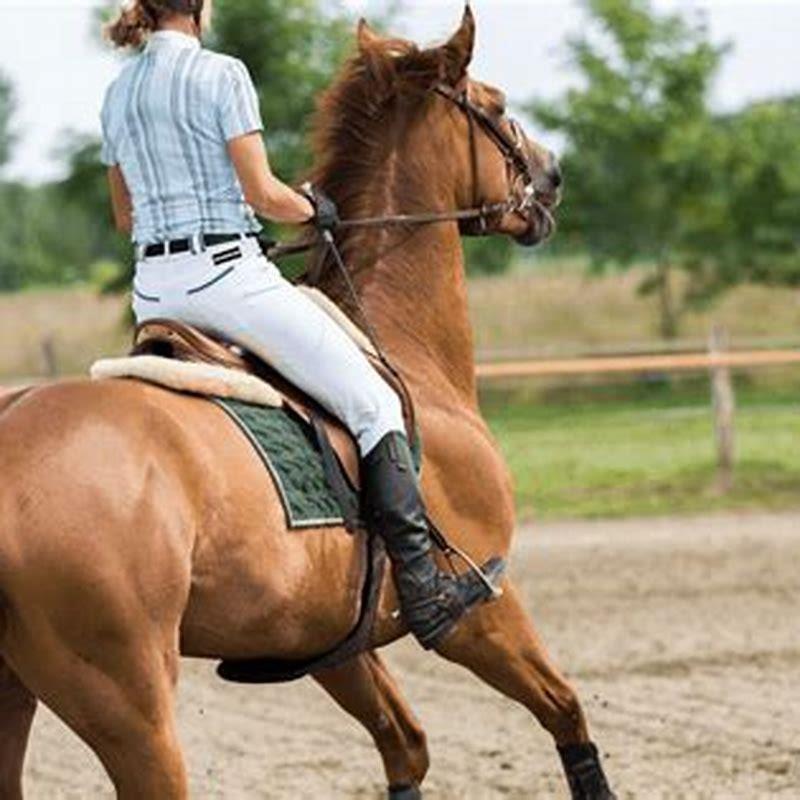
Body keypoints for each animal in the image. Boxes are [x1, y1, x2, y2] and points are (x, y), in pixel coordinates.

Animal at [0, 10, 616, 800]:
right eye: (498, 103)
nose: (553, 175)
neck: (405, 346)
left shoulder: (330, 638)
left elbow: (406, 748)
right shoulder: (482, 602)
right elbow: (565, 710)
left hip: (19, 691)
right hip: (125, 699)